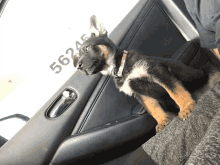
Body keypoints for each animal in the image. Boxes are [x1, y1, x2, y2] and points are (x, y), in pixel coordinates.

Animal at [73, 14, 218, 132]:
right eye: (76, 59)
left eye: (87, 48)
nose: (78, 66)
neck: (121, 68)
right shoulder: (139, 93)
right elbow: (152, 108)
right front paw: (163, 120)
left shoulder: (158, 72)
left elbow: (176, 91)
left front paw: (186, 107)